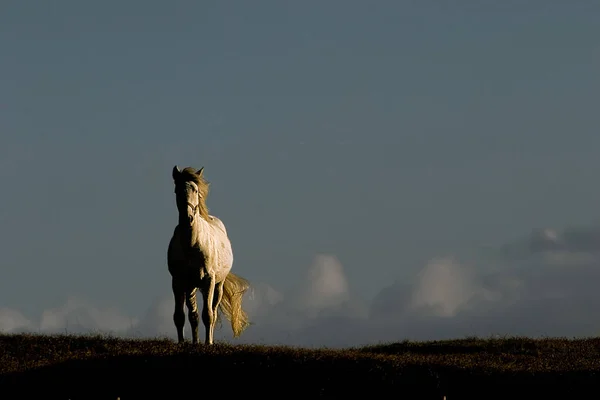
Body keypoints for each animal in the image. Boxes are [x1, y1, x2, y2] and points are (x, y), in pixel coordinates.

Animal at [168, 165, 250, 344]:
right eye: (177, 190)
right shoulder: (178, 282)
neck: (191, 244)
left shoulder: (208, 280)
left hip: (217, 286)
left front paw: (208, 343)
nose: (188, 217)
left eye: (196, 190)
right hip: (191, 286)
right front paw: (183, 343)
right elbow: (180, 316)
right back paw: (195, 341)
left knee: (212, 311)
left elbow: (208, 315)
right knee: (193, 315)